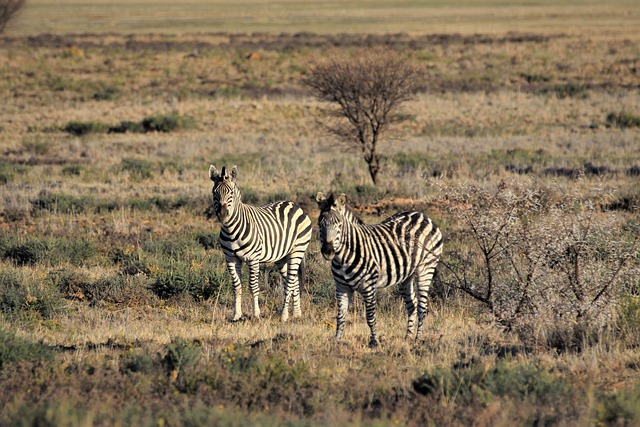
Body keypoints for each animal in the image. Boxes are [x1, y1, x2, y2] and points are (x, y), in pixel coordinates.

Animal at [209, 166, 312, 322]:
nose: (222, 214)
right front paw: (236, 315)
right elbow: (236, 286)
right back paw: (296, 313)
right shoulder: (231, 259)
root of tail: (294, 205)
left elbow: (253, 286)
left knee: (289, 283)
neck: (230, 229)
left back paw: (284, 315)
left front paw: (256, 314)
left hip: (297, 250)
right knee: (293, 282)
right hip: (282, 257)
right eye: (214, 192)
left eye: (231, 193)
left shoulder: (253, 258)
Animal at [316, 193, 444, 348]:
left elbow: (370, 316)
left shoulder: (368, 286)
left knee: (422, 307)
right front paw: (337, 341)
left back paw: (417, 340)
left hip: (426, 269)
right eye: (319, 225)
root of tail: (422, 215)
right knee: (412, 305)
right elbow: (340, 315)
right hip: (406, 276)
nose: (328, 251)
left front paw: (374, 342)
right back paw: (407, 337)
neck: (343, 258)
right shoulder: (342, 287)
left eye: (339, 225)